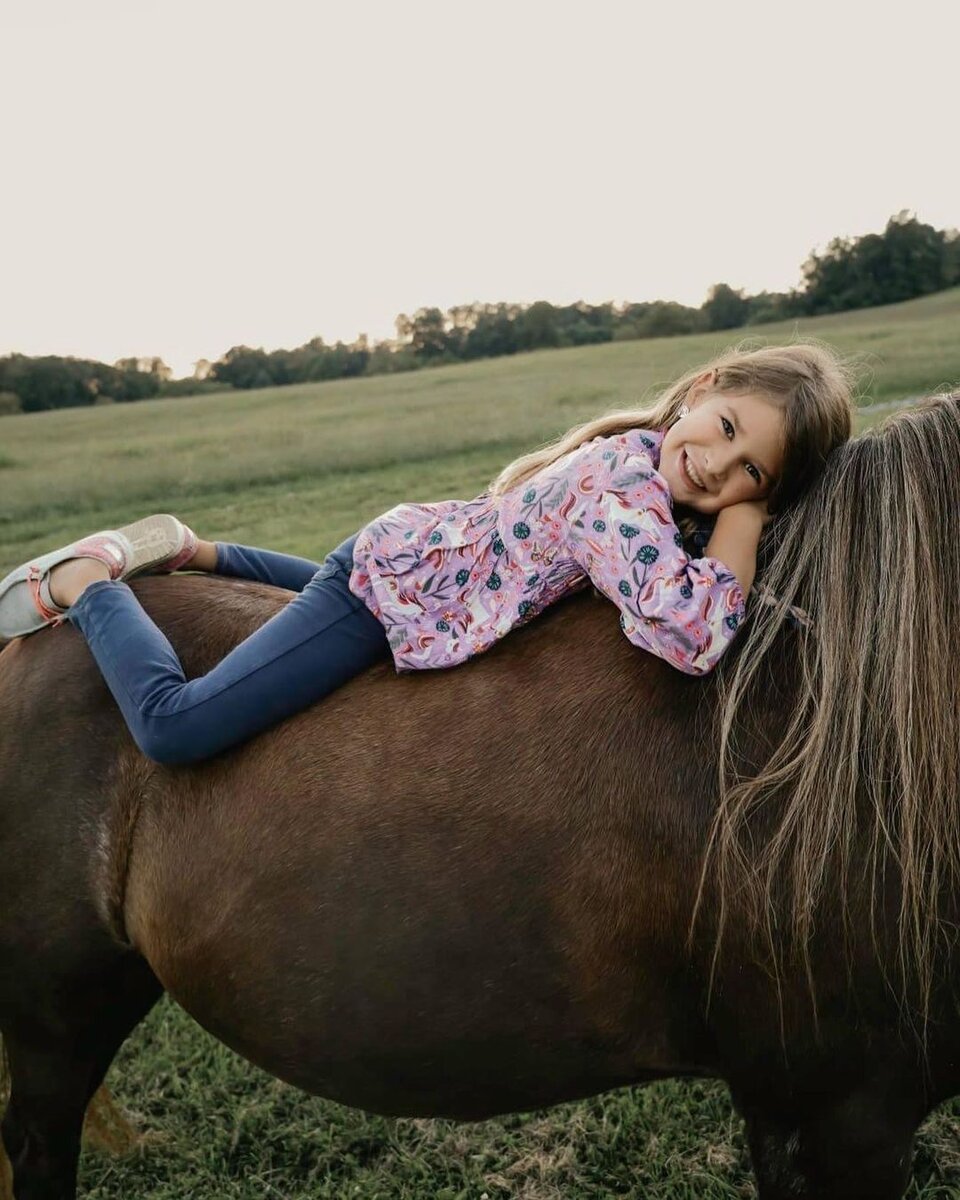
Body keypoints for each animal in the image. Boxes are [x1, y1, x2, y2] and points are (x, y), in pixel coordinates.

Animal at [1, 396, 960, 1200]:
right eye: (723, 433)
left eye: (755, 464)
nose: (724, 482)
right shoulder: (833, 1110)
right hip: (54, 1019)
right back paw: (74, 578)